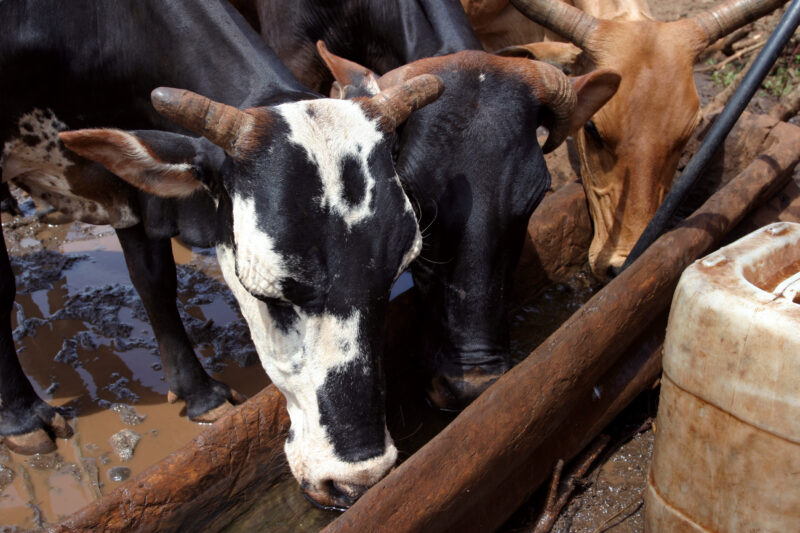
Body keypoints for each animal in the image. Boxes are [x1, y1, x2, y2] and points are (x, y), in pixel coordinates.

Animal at [1, 0, 445, 508]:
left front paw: (198, 394)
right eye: (268, 297)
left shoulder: (134, 197)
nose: (357, 480)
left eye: (396, 275)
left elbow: (153, 278)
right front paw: (20, 418)